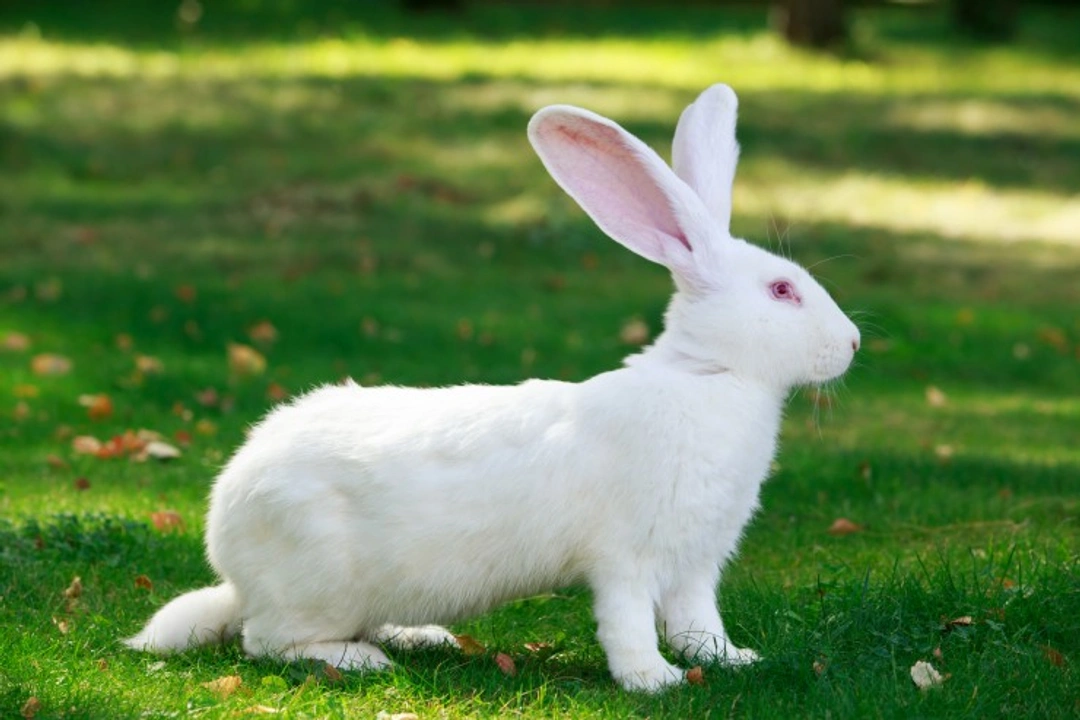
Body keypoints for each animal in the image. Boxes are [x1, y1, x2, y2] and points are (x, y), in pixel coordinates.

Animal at [123, 83, 860, 692]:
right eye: (783, 290)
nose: (853, 343)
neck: (708, 375)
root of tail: (231, 559)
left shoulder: (695, 564)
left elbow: (696, 622)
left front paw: (731, 660)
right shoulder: (626, 557)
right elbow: (628, 624)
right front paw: (654, 681)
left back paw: (419, 635)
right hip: (313, 584)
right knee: (269, 642)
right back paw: (360, 659)